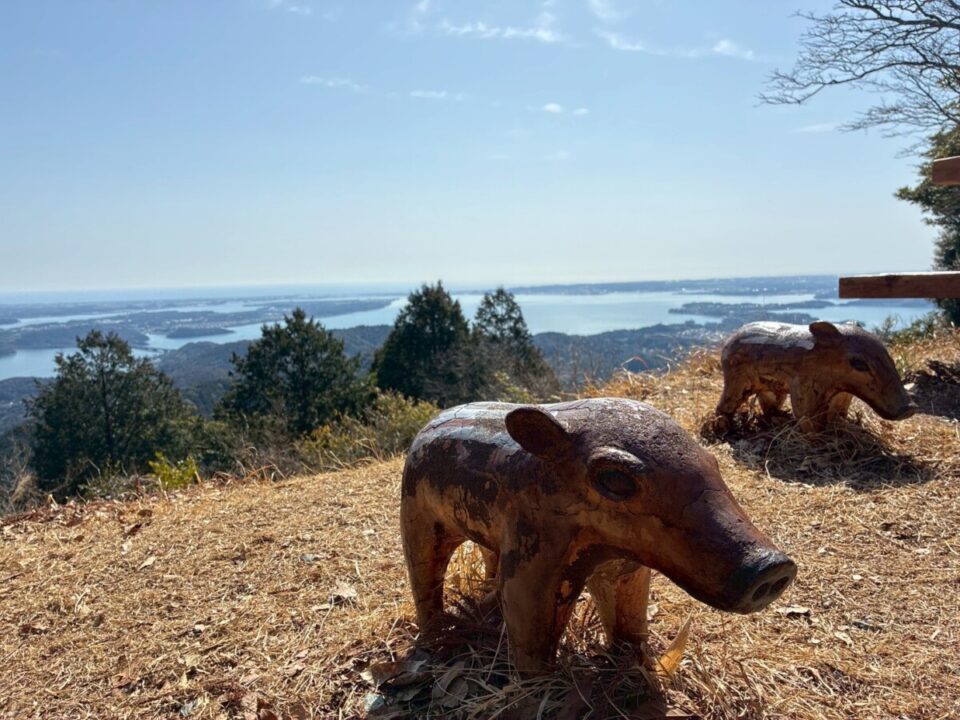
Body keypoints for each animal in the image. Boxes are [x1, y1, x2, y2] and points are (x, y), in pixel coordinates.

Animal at [401, 398, 797, 673]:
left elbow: (630, 617)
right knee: (423, 574)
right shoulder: (533, 555)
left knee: (488, 562)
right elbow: (528, 622)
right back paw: (434, 635)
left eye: (712, 463)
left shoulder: (628, 566)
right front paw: (535, 686)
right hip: (417, 516)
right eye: (615, 479)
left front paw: (634, 662)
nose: (772, 566)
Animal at [715, 321, 918, 433]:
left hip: (770, 387)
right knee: (724, 407)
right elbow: (807, 417)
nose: (910, 408)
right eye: (859, 364)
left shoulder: (844, 394)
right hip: (736, 382)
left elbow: (839, 413)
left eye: (886, 353)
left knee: (768, 405)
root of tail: (727, 343)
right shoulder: (804, 387)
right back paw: (724, 428)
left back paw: (779, 418)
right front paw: (817, 438)